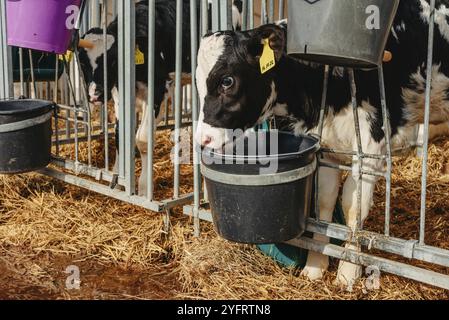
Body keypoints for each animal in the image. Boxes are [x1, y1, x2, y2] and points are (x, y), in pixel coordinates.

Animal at [79, 0, 243, 195]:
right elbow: (120, 136)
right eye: (82, 63)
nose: (95, 94)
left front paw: (144, 188)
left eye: (112, 61)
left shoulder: (158, 89)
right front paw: (117, 179)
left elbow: (142, 139)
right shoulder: (120, 93)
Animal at [196, 0, 449, 284]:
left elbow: (354, 206)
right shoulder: (325, 146)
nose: (202, 139)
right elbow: (324, 201)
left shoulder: (371, 143)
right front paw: (316, 264)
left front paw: (349, 271)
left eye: (227, 81)